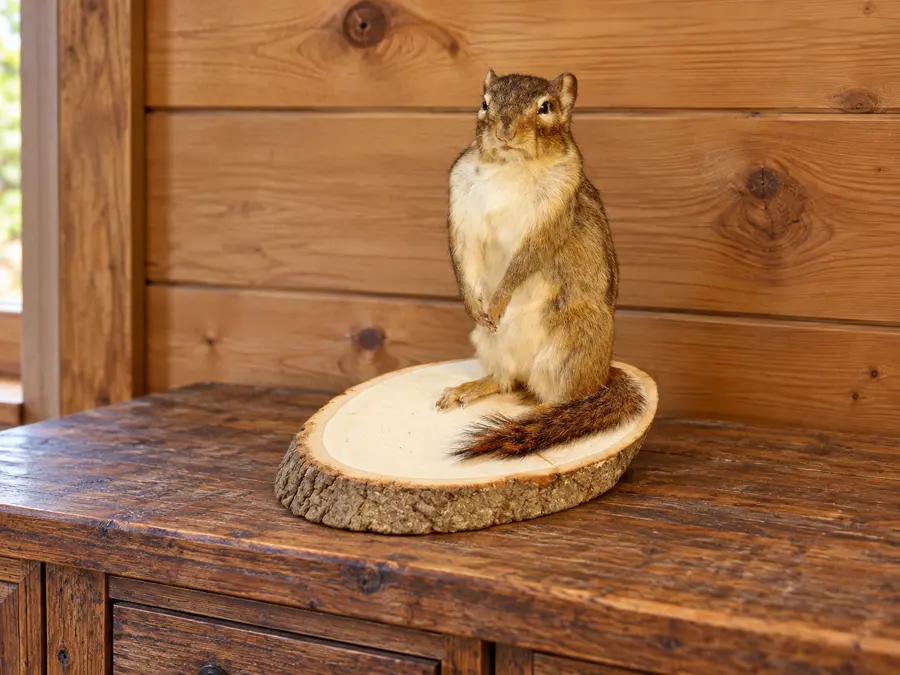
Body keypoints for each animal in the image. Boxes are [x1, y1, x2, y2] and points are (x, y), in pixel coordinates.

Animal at [435, 69, 647, 459]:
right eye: (484, 102)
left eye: (545, 107)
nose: (504, 130)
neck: (509, 168)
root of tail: (603, 373)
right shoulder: (461, 206)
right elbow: (462, 255)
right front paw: (474, 304)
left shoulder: (555, 210)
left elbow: (527, 257)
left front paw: (499, 299)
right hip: (490, 345)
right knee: (506, 382)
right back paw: (469, 388)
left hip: (569, 352)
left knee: (571, 398)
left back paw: (543, 414)